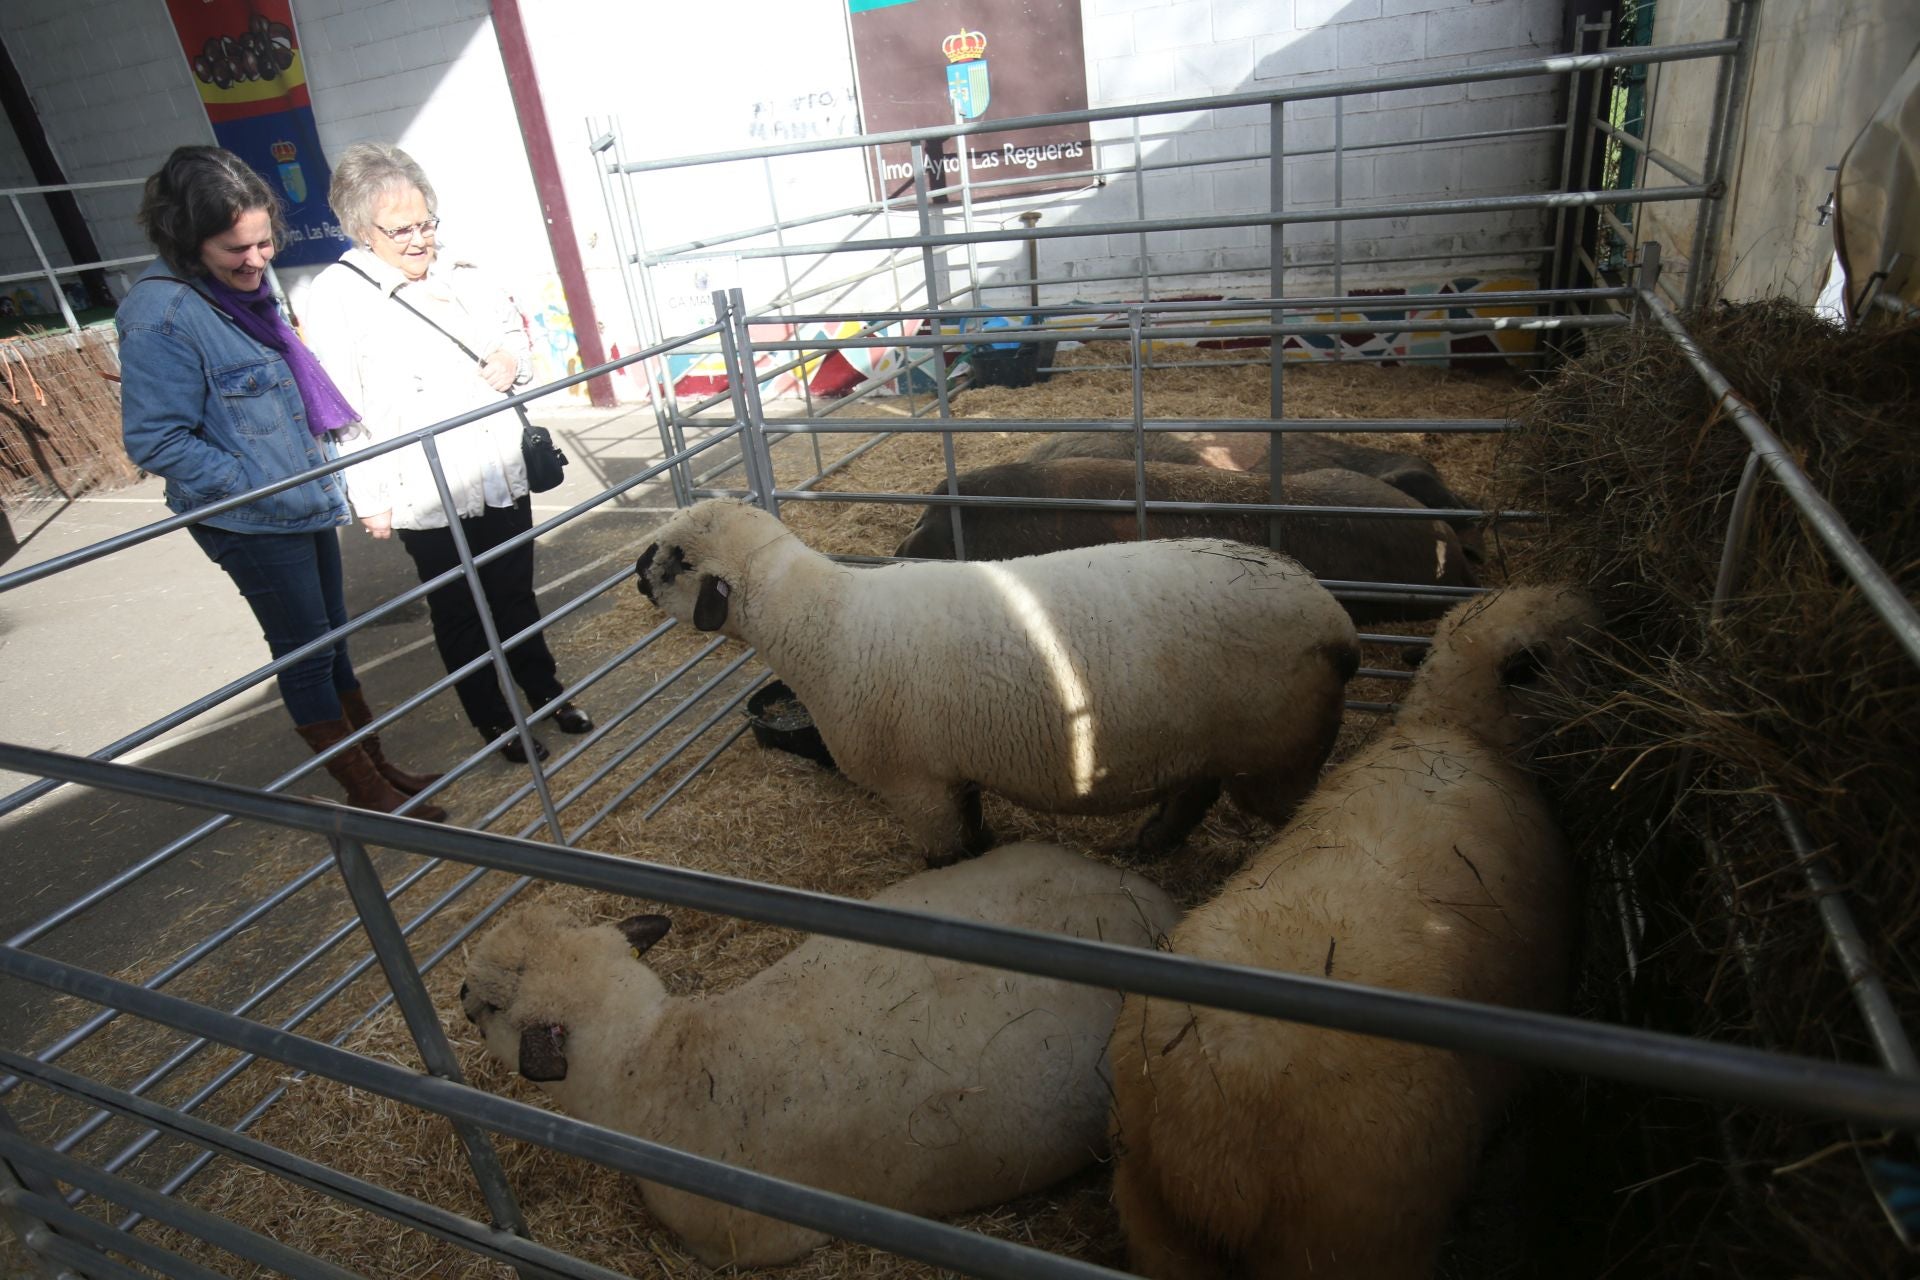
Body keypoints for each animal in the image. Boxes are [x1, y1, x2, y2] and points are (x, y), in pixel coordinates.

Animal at [637, 495, 1359, 867]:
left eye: (675, 560)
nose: (637, 577)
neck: (821, 621)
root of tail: (1337, 624)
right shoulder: (949, 770)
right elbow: (973, 823)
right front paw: (987, 847)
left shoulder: (914, 784)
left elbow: (944, 853)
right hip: (1215, 744)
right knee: (1196, 794)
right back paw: (1150, 842)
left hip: (1275, 754)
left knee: (1289, 814)